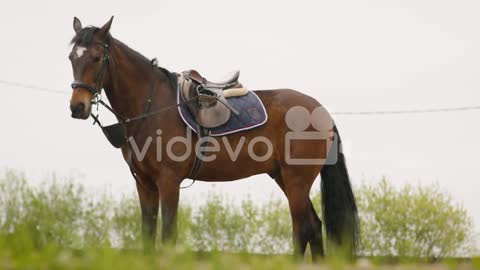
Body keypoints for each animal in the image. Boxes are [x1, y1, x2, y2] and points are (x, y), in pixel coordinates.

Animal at [69, 16, 358, 260]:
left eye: (97, 57)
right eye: (71, 57)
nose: (77, 107)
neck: (152, 106)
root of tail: (321, 112)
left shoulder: (169, 182)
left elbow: (168, 236)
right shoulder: (145, 184)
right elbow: (147, 238)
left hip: (297, 180)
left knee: (302, 229)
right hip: (283, 177)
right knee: (314, 227)